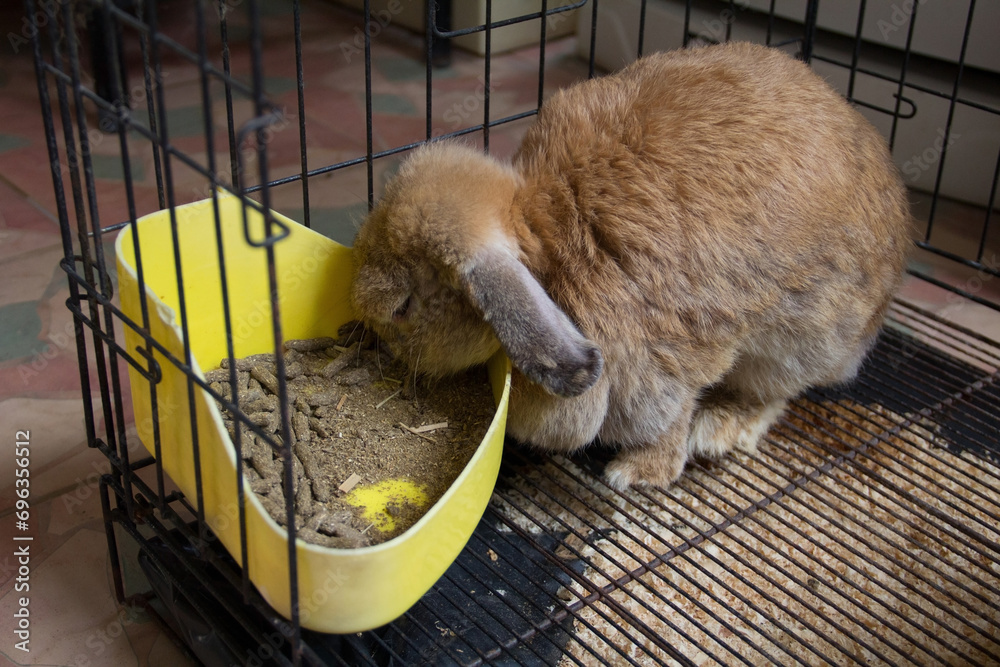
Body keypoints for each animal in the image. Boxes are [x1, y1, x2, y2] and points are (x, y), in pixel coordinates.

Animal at [350, 41, 911, 490]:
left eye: (402, 309)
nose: (376, 343)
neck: (543, 240)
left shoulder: (660, 370)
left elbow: (670, 419)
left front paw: (637, 473)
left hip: (800, 342)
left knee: (776, 394)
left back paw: (719, 428)